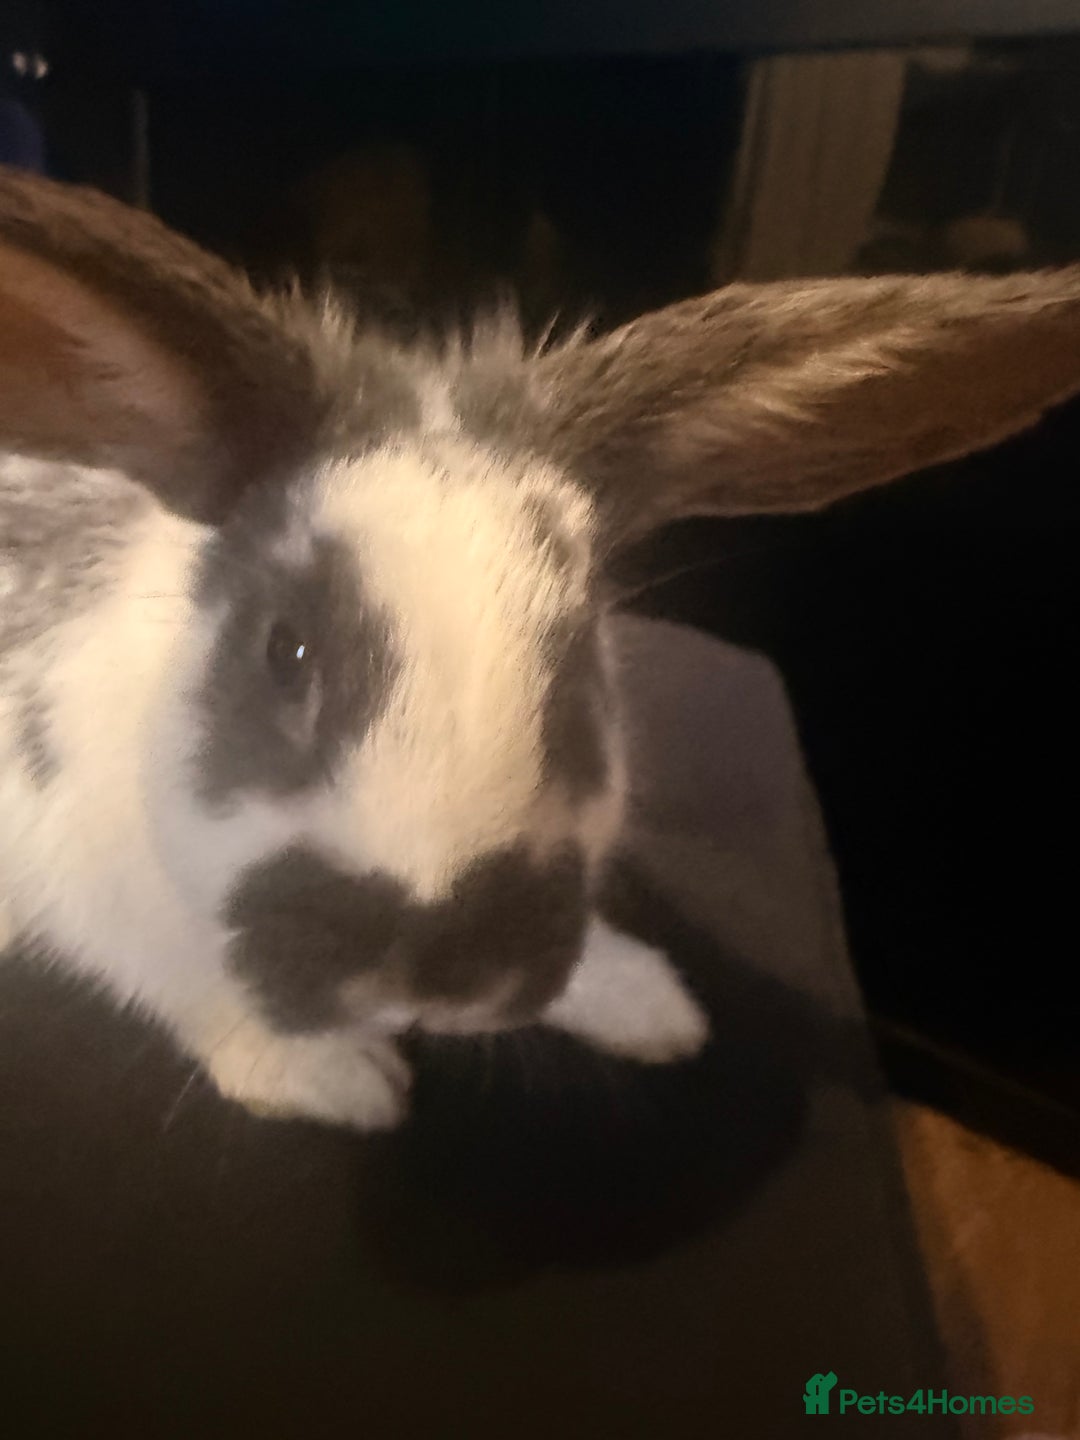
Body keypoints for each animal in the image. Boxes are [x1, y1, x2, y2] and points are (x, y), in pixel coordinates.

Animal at [2, 166, 1080, 1131]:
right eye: (286, 650)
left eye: (578, 668)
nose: (438, 967)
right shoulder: (88, 877)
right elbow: (190, 983)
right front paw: (338, 1080)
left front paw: (646, 1002)